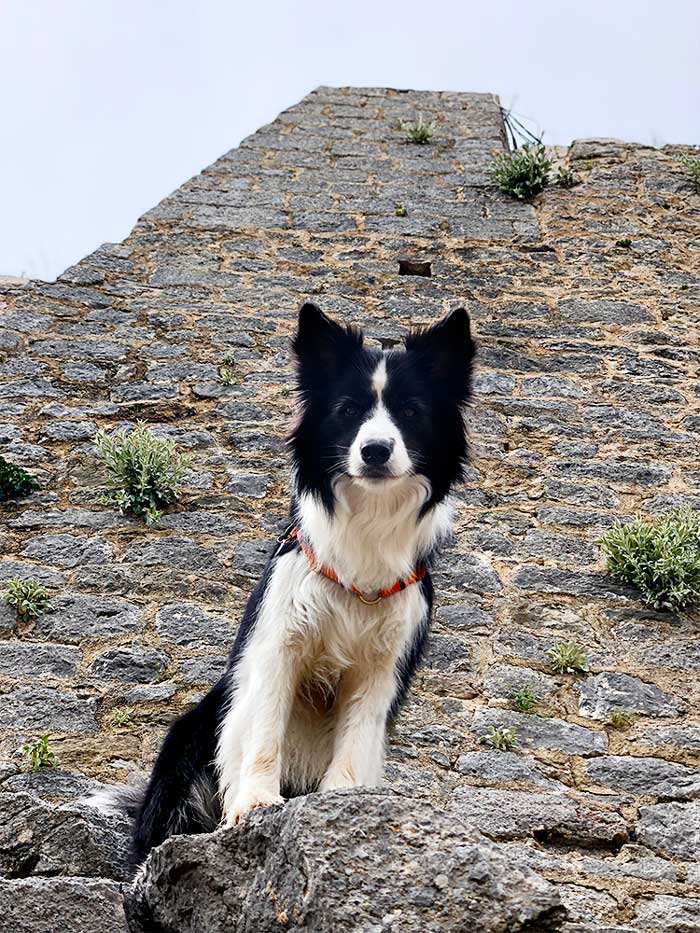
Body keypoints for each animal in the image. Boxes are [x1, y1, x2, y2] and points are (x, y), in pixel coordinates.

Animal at [90, 304, 476, 868]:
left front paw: (344, 808)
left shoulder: (381, 666)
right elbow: (265, 732)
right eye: (347, 410)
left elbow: (355, 743)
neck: (366, 533)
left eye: (410, 411)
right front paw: (254, 804)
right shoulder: (279, 645)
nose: (375, 450)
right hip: (194, 735)